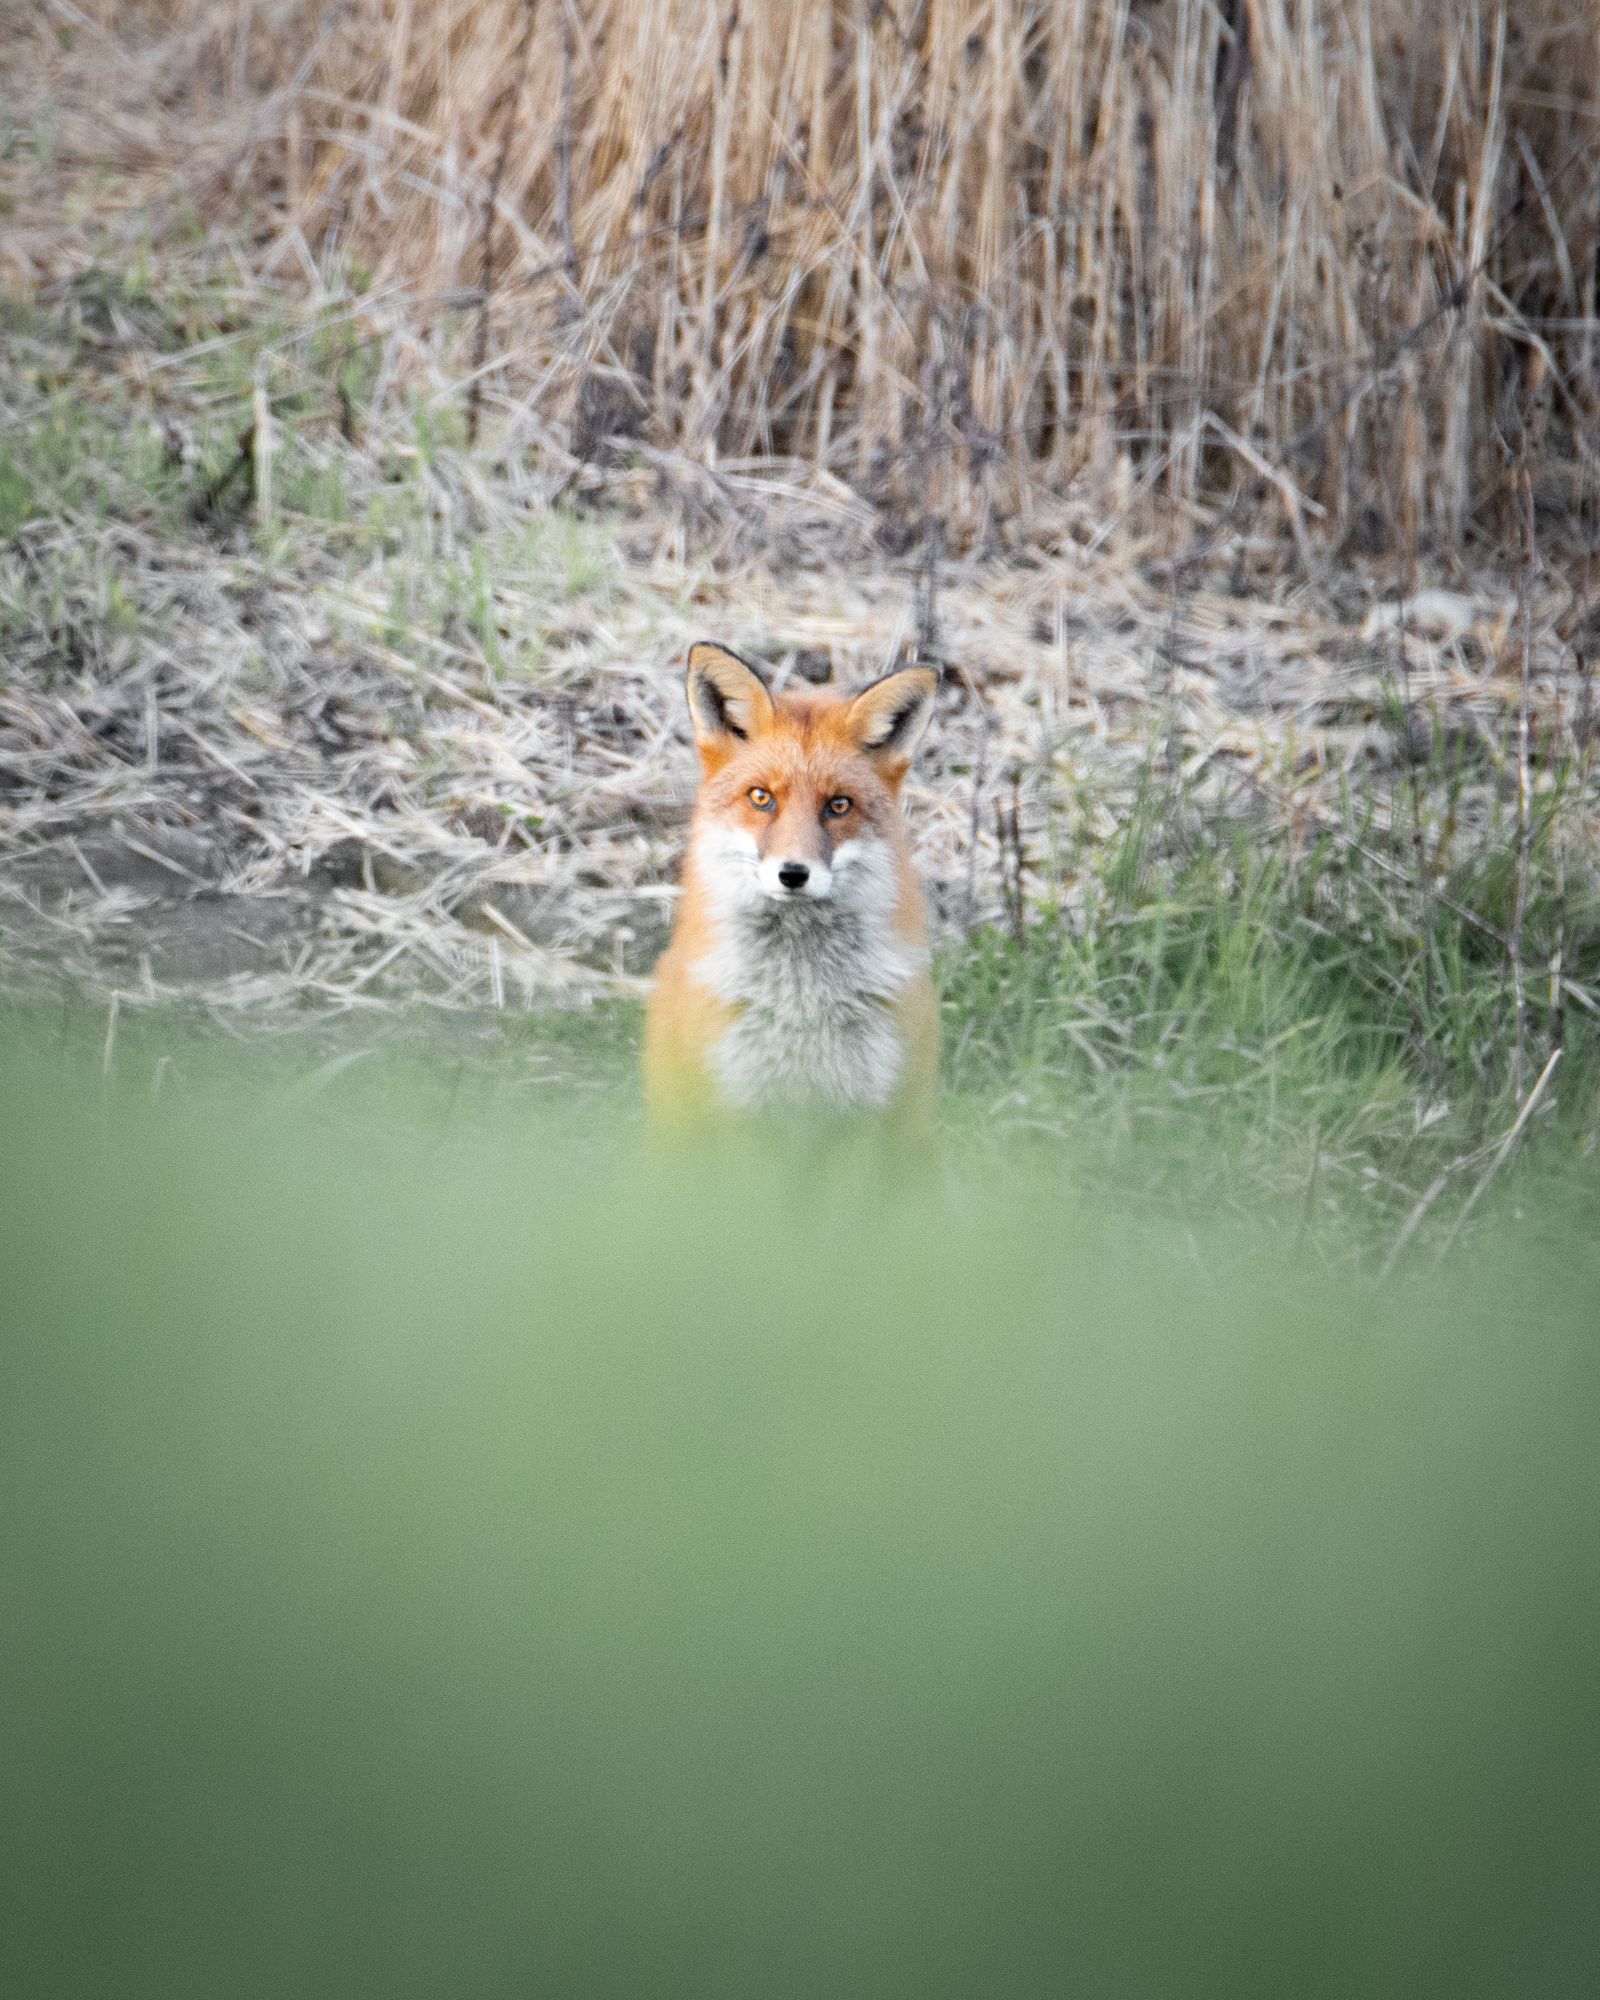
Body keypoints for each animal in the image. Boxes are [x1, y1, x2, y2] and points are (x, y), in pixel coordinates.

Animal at [644, 640, 941, 1130]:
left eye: (838, 805)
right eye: (761, 797)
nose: (793, 874)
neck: (802, 999)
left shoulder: (871, 1109)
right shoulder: (737, 1105)